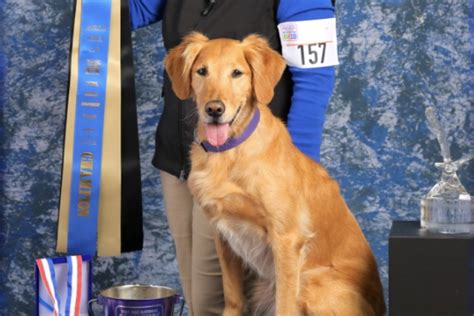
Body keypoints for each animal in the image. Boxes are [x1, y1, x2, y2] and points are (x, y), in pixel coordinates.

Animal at [163, 32, 386, 316]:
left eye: (237, 73)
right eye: (202, 71)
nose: (214, 110)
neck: (229, 152)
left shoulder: (287, 239)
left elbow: (285, 304)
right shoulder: (223, 234)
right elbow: (232, 296)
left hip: (312, 279)